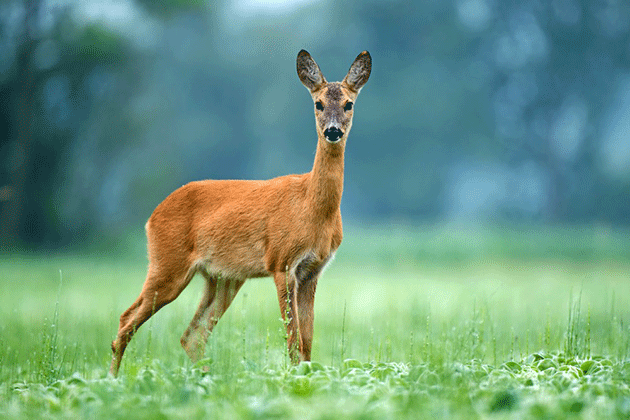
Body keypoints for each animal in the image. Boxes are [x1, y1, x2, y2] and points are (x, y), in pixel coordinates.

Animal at [110, 50, 372, 378]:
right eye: (318, 103)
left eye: (349, 103)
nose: (333, 131)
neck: (312, 208)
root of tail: (152, 217)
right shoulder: (282, 262)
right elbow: (293, 340)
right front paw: (293, 380)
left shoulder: (313, 270)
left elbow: (308, 342)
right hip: (167, 264)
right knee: (126, 321)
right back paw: (111, 381)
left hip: (222, 278)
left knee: (192, 335)